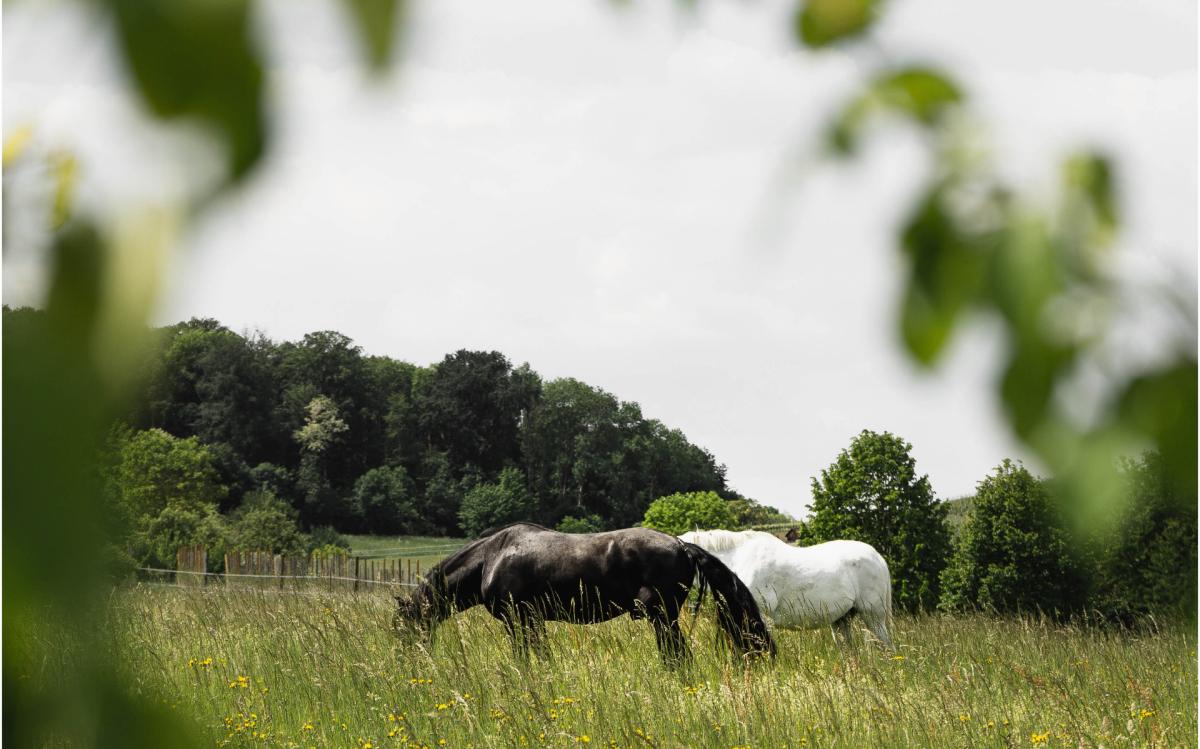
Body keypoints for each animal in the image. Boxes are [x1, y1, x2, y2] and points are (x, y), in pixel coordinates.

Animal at [388, 523, 772, 657]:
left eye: (403, 627)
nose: (409, 659)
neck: (491, 557)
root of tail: (680, 544)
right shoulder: (532, 621)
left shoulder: (517, 619)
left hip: (663, 618)